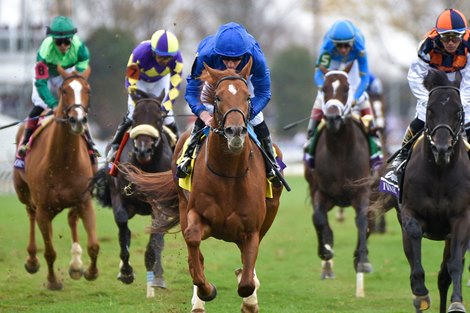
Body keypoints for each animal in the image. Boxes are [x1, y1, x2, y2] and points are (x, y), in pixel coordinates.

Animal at [12, 67, 99, 288]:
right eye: (64, 90)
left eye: (88, 90)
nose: (78, 120)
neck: (63, 161)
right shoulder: (44, 208)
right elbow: (50, 251)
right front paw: (52, 281)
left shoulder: (84, 200)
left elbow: (94, 245)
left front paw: (90, 272)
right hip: (24, 193)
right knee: (31, 213)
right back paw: (32, 259)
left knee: (71, 218)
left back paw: (76, 264)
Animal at [91, 91, 173, 298]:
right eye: (134, 118)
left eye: (159, 118)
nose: (143, 150)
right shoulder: (120, 197)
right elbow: (123, 229)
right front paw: (126, 271)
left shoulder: (160, 204)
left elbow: (156, 237)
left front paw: (152, 267)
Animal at [121, 58, 282, 310]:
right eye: (218, 97)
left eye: (247, 96)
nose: (235, 132)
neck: (229, 175)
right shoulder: (197, 216)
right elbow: (193, 242)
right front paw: (206, 291)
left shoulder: (252, 229)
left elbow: (247, 279)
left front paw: (249, 298)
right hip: (182, 204)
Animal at [304, 69, 374, 296]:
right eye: (324, 88)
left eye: (346, 88)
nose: (333, 117)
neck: (340, 150)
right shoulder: (321, 191)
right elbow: (318, 219)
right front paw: (326, 251)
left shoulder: (362, 191)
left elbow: (362, 220)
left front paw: (361, 260)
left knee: (369, 221)